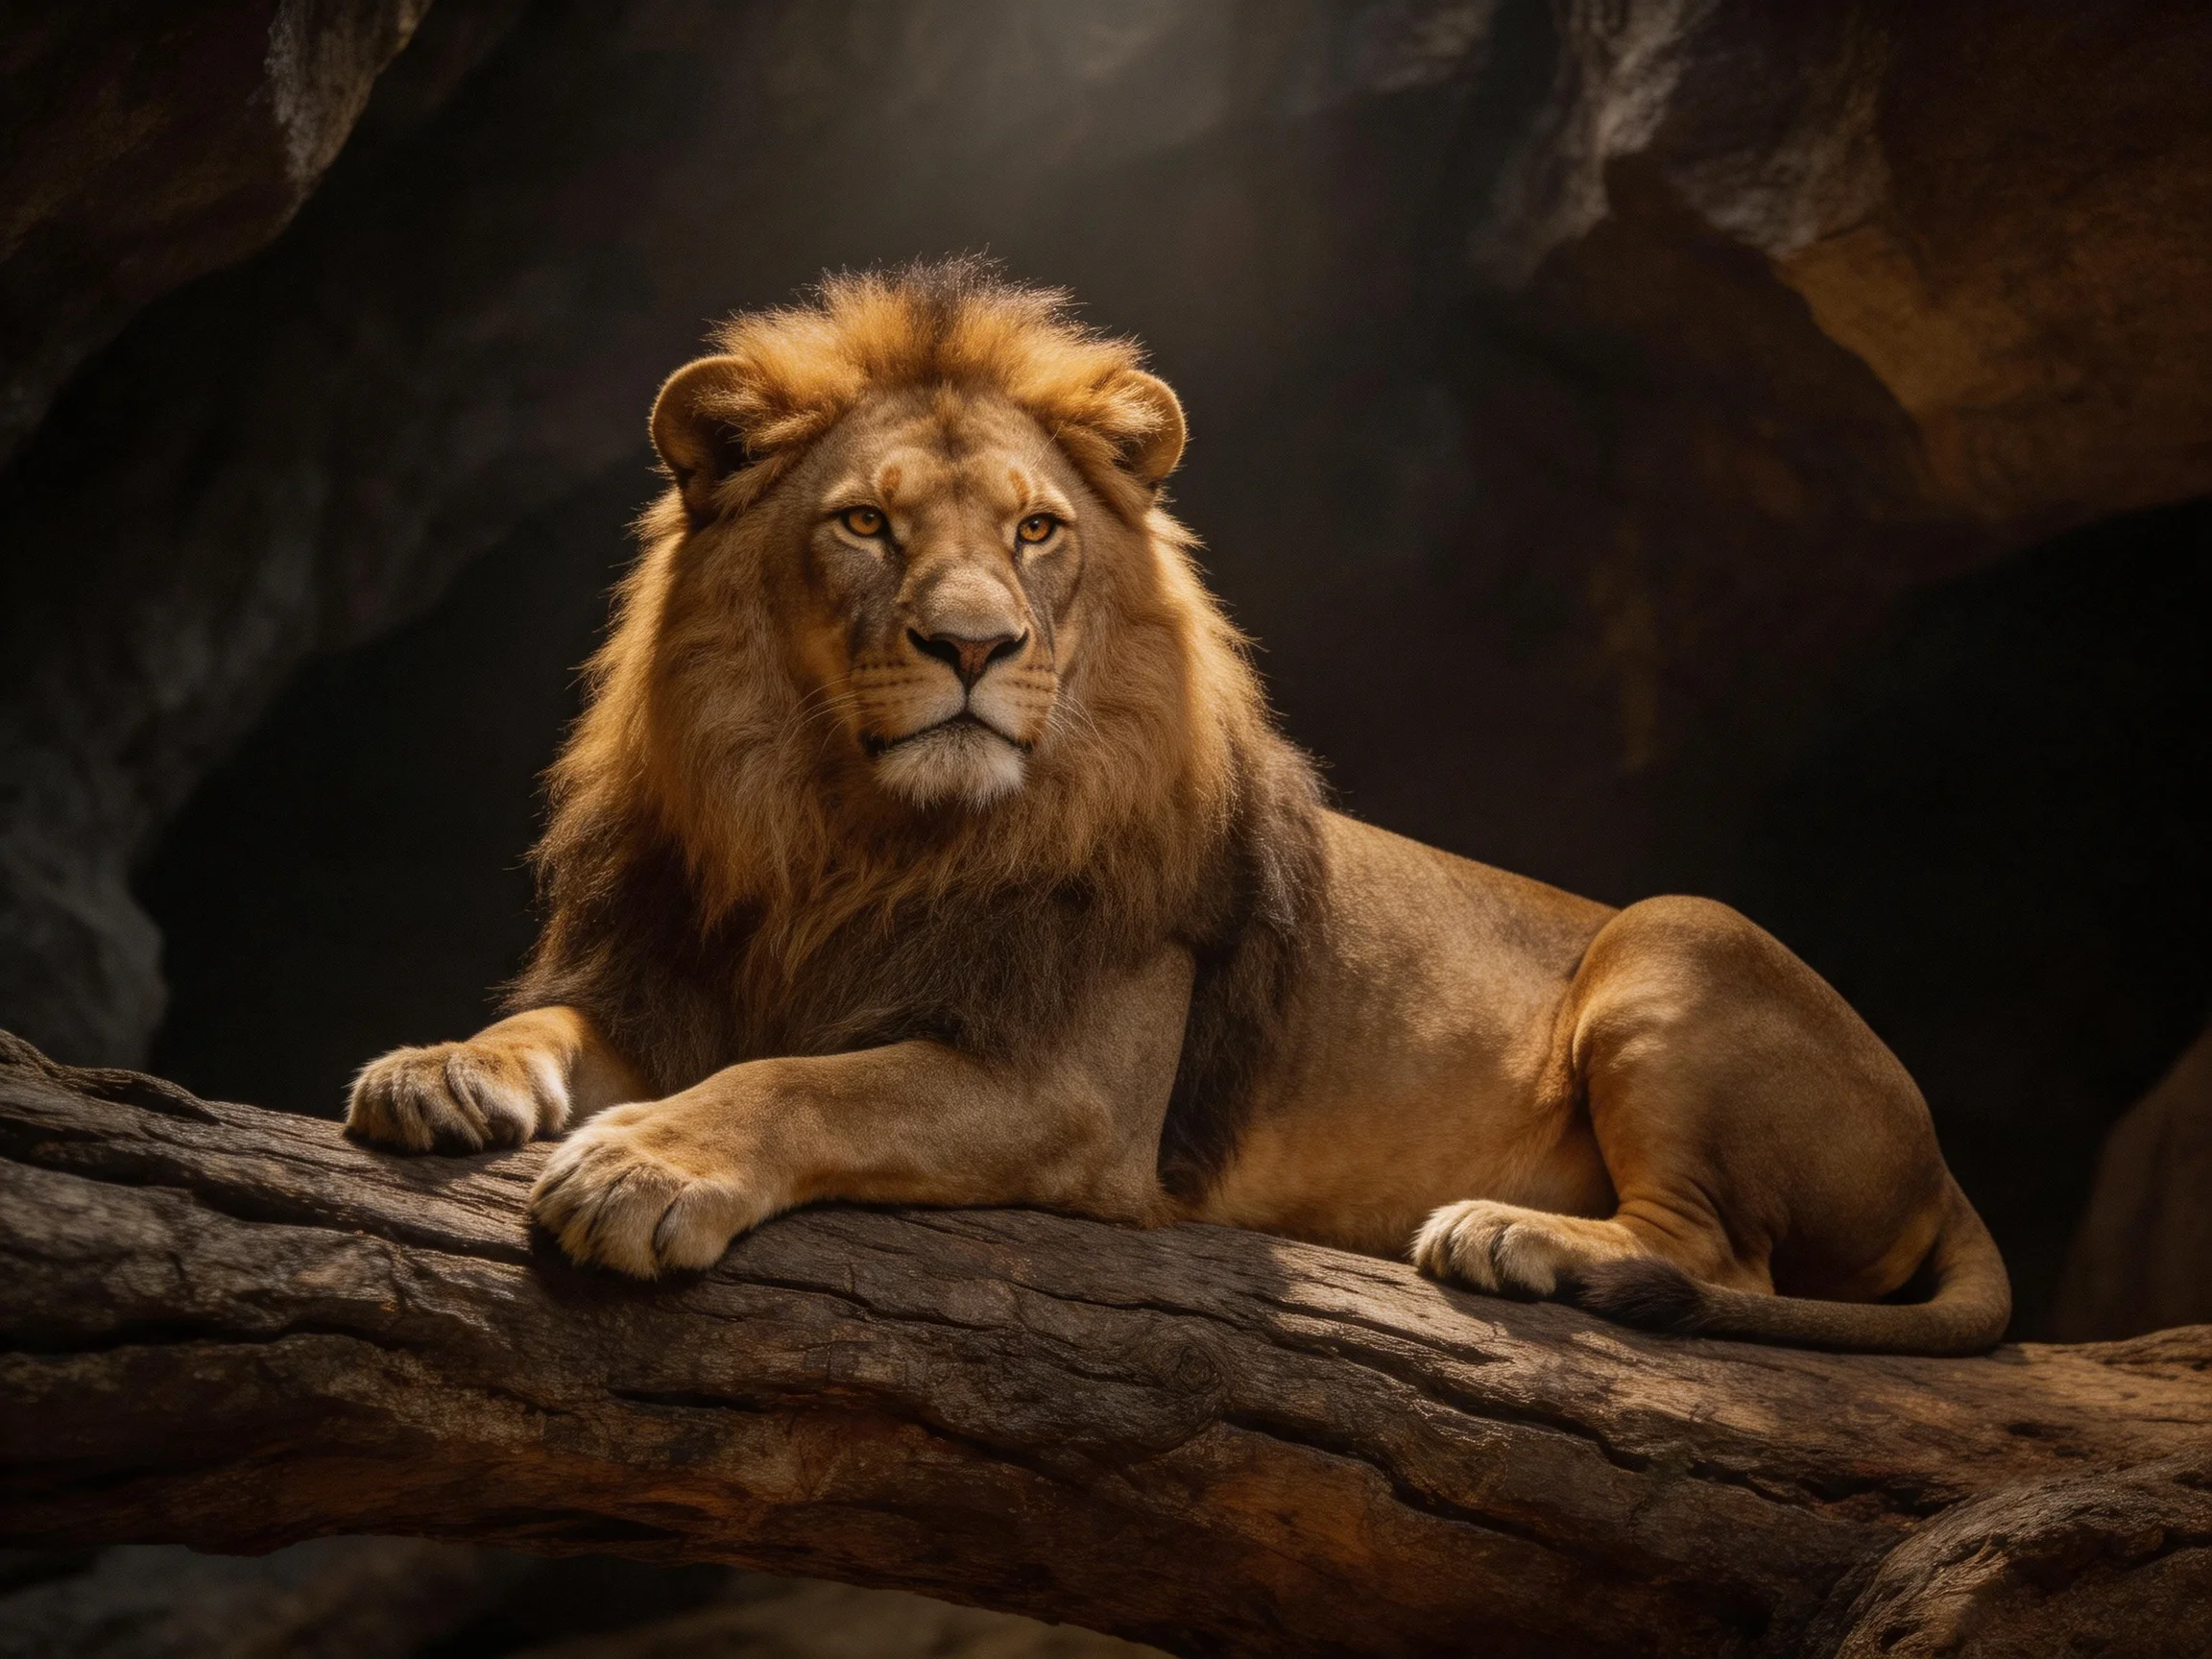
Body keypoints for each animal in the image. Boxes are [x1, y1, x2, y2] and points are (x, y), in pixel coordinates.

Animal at [347, 259, 2010, 1355]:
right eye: (865, 524)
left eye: (1035, 533)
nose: (974, 646)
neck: (849, 837)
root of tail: (1942, 1160)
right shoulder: (675, 979)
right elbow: (555, 1023)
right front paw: (440, 1068)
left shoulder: (1071, 1088)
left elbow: (812, 1085)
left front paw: (646, 1167)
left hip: (1681, 927)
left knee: (1725, 1262)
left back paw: (1513, 1237)